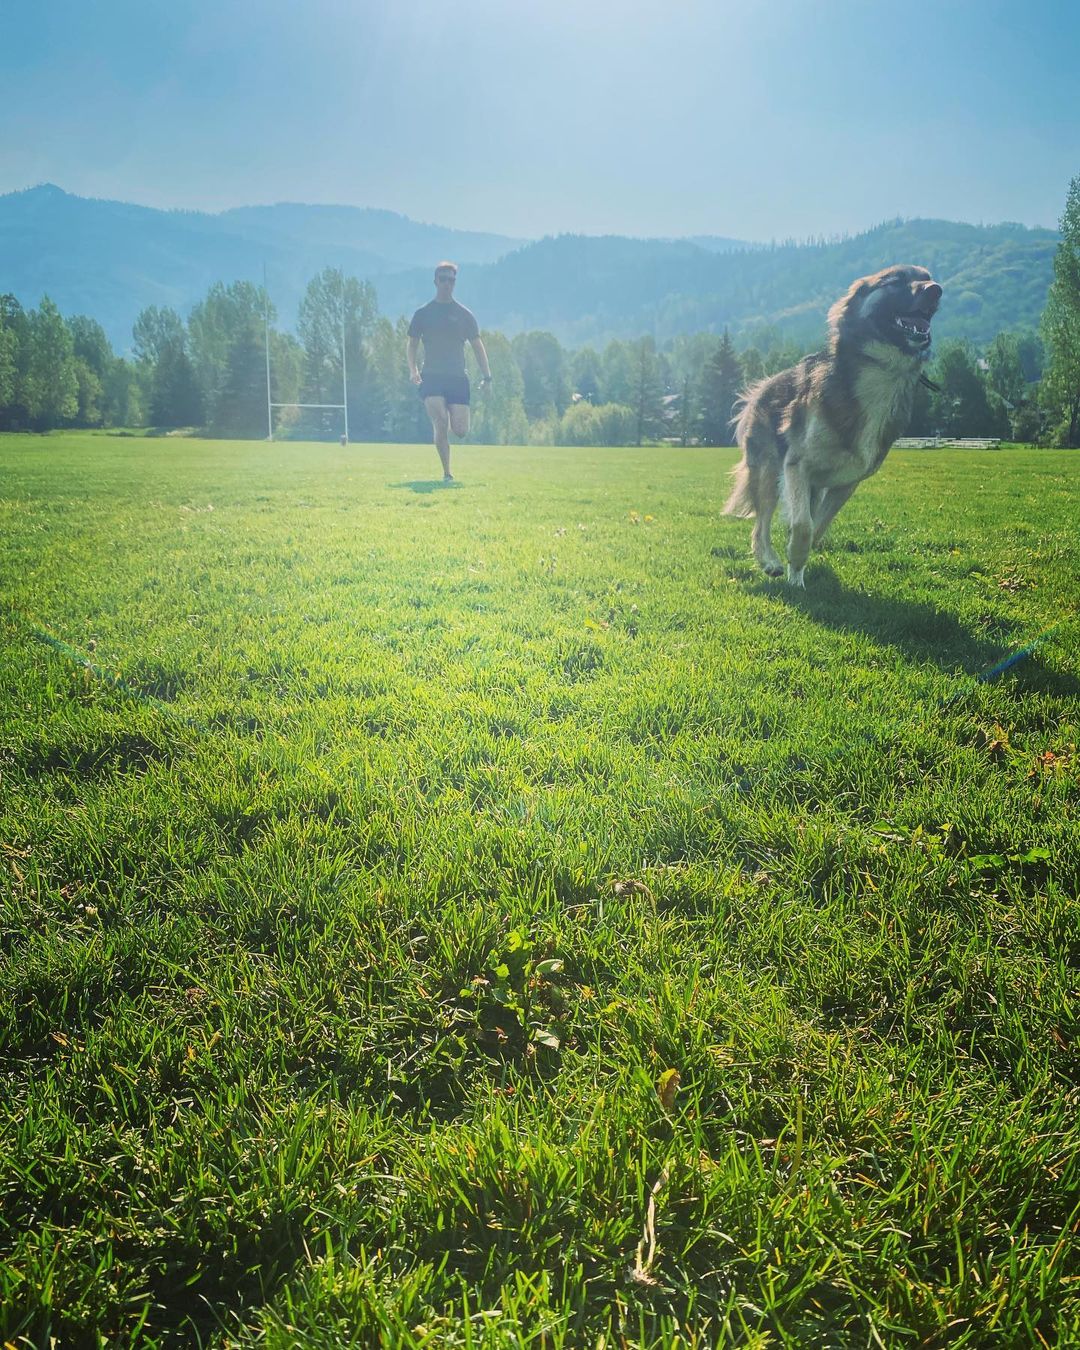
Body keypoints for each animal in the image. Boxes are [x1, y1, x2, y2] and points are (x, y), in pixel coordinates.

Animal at [723, 264, 945, 585]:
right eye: (895, 281)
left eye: (927, 276)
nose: (936, 289)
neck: (882, 372)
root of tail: (762, 386)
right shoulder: (797, 466)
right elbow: (803, 526)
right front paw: (793, 566)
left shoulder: (847, 483)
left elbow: (816, 528)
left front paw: (797, 568)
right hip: (768, 470)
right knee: (760, 525)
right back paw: (769, 561)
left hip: (813, 487)